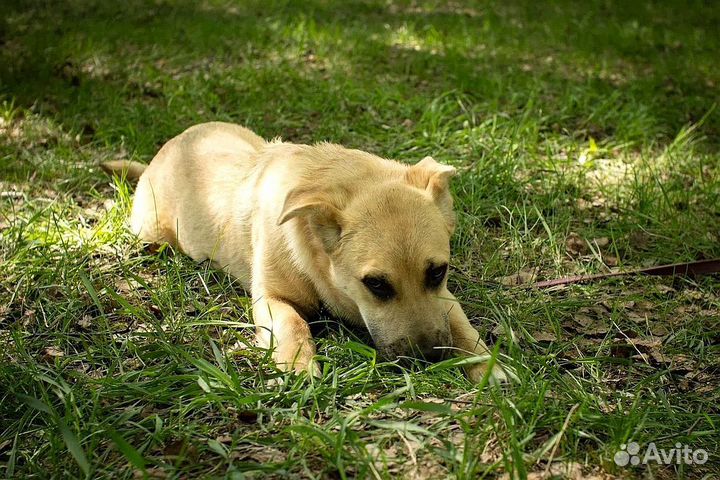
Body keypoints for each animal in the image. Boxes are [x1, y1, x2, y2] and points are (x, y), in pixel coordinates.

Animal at [102, 123, 512, 382]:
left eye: (437, 272)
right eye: (377, 284)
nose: (430, 358)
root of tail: (162, 153)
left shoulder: (445, 298)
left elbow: (463, 327)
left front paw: (487, 364)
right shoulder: (270, 298)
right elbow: (293, 323)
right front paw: (299, 365)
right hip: (149, 230)